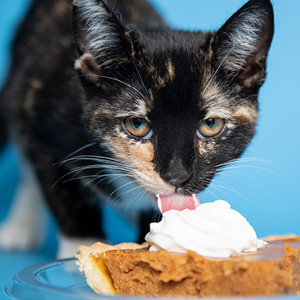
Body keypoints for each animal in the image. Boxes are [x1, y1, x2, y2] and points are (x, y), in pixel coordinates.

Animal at [0, 0, 274, 258]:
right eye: (137, 125)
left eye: (210, 124)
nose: (177, 176)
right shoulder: (40, 121)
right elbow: (61, 190)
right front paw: (80, 251)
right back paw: (21, 225)